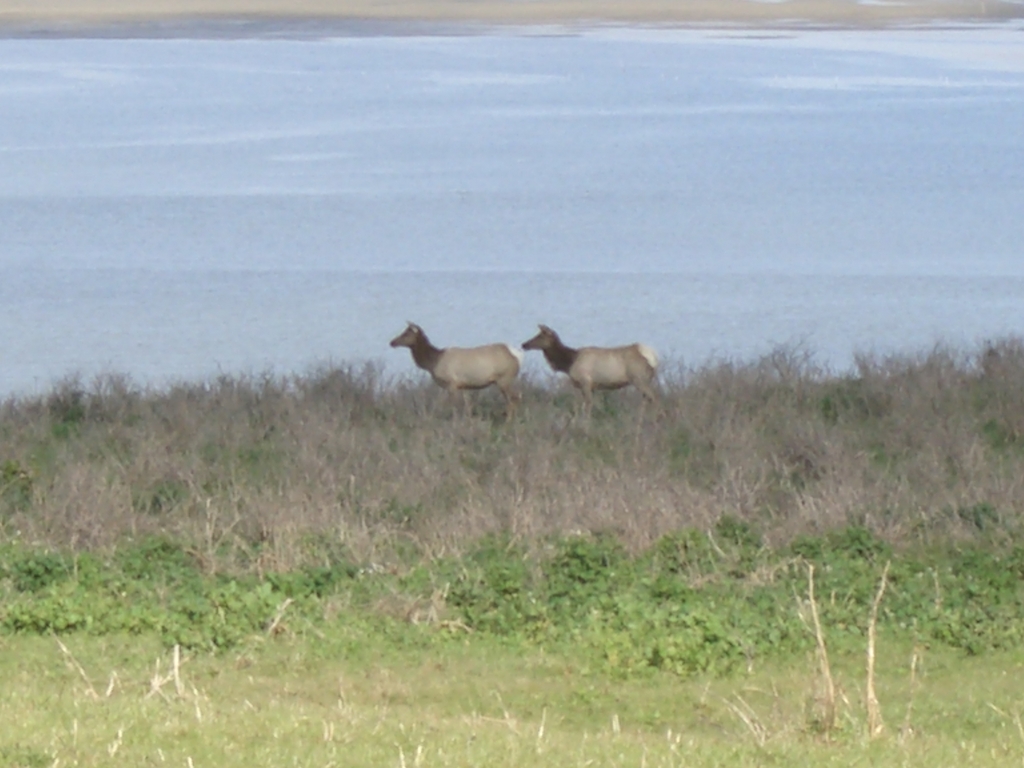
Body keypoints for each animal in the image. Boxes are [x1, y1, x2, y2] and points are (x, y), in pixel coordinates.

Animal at [389, 323, 524, 423]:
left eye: (407, 333)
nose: (392, 342)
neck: (433, 362)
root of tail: (518, 356)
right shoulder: (462, 386)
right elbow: (466, 406)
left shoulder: (451, 383)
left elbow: (454, 405)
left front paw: (455, 422)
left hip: (504, 379)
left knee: (514, 397)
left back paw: (509, 421)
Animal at [524, 323, 659, 415]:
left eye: (540, 336)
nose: (524, 344)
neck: (569, 362)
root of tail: (653, 357)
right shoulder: (592, 386)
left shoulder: (585, 382)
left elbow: (587, 406)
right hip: (645, 380)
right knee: (646, 401)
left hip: (639, 379)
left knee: (654, 399)